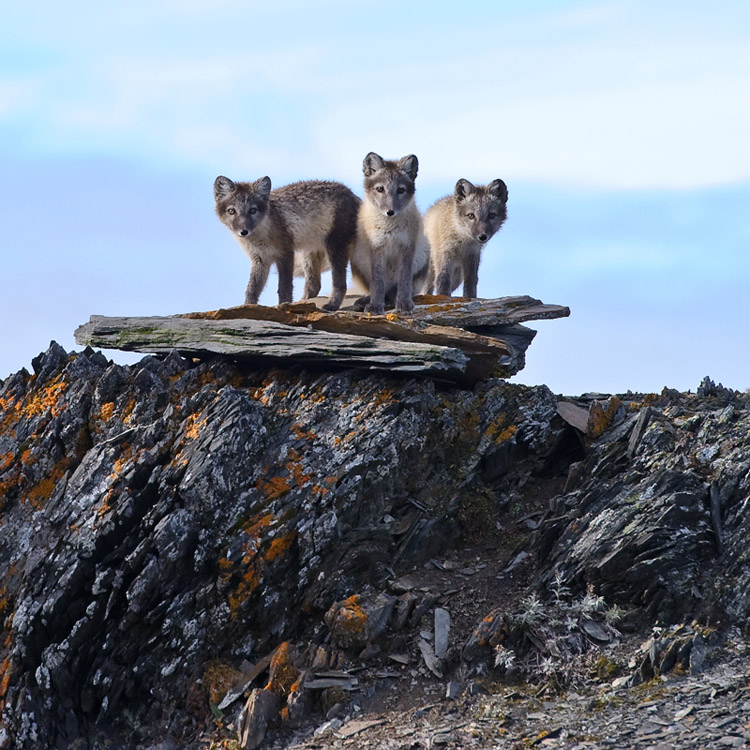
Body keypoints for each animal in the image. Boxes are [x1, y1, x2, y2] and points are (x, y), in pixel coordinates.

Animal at [214, 176, 362, 312]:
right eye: (232, 211)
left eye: (252, 210)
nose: (244, 231)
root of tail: (353, 195)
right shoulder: (260, 259)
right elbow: (252, 288)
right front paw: (247, 306)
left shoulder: (285, 253)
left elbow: (284, 287)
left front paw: (284, 306)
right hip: (308, 255)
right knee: (314, 285)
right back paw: (303, 303)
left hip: (334, 248)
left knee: (340, 284)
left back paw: (332, 305)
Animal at [348, 153, 426, 318]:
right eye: (380, 189)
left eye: (401, 190)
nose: (390, 211)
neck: (390, 228)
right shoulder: (376, 247)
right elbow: (377, 282)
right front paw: (375, 306)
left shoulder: (407, 247)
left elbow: (404, 280)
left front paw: (404, 303)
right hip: (356, 259)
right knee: (381, 290)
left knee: (392, 292)